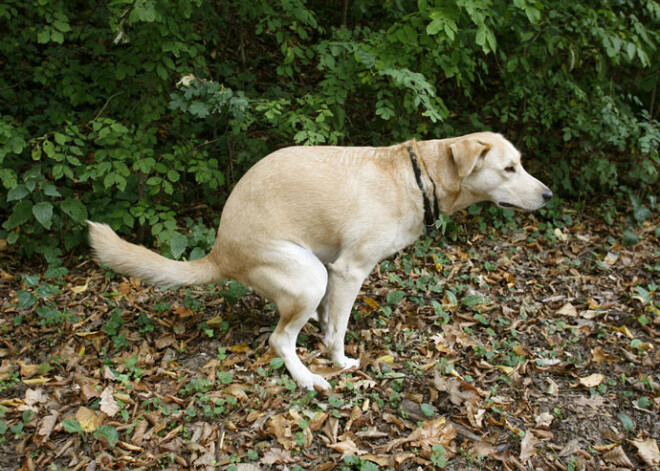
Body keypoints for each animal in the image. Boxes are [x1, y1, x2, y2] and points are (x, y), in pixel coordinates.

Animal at [87, 132, 552, 390]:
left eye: (520, 164)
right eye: (509, 169)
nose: (548, 195)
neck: (420, 177)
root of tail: (220, 251)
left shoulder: (335, 270)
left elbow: (331, 320)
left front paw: (326, 334)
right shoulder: (348, 271)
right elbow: (339, 330)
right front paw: (339, 361)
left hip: (312, 272)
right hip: (309, 275)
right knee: (279, 340)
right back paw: (307, 378)